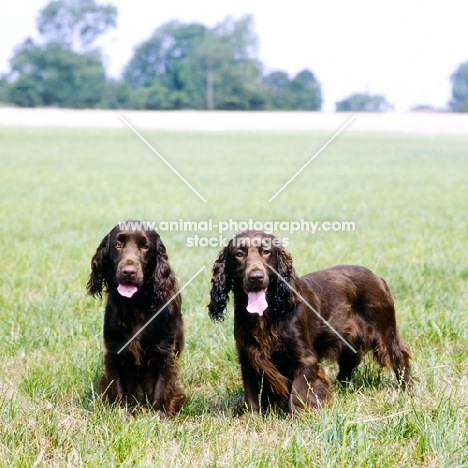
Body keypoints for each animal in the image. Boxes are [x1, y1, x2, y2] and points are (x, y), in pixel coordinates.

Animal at [207, 230, 410, 414]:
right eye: (239, 254)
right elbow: (251, 395)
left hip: (384, 331)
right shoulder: (248, 357)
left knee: (400, 356)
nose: (256, 277)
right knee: (349, 362)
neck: (267, 314)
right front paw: (252, 418)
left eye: (266, 252)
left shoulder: (305, 359)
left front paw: (297, 418)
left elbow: (298, 393)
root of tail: (378, 278)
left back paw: (407, 389)